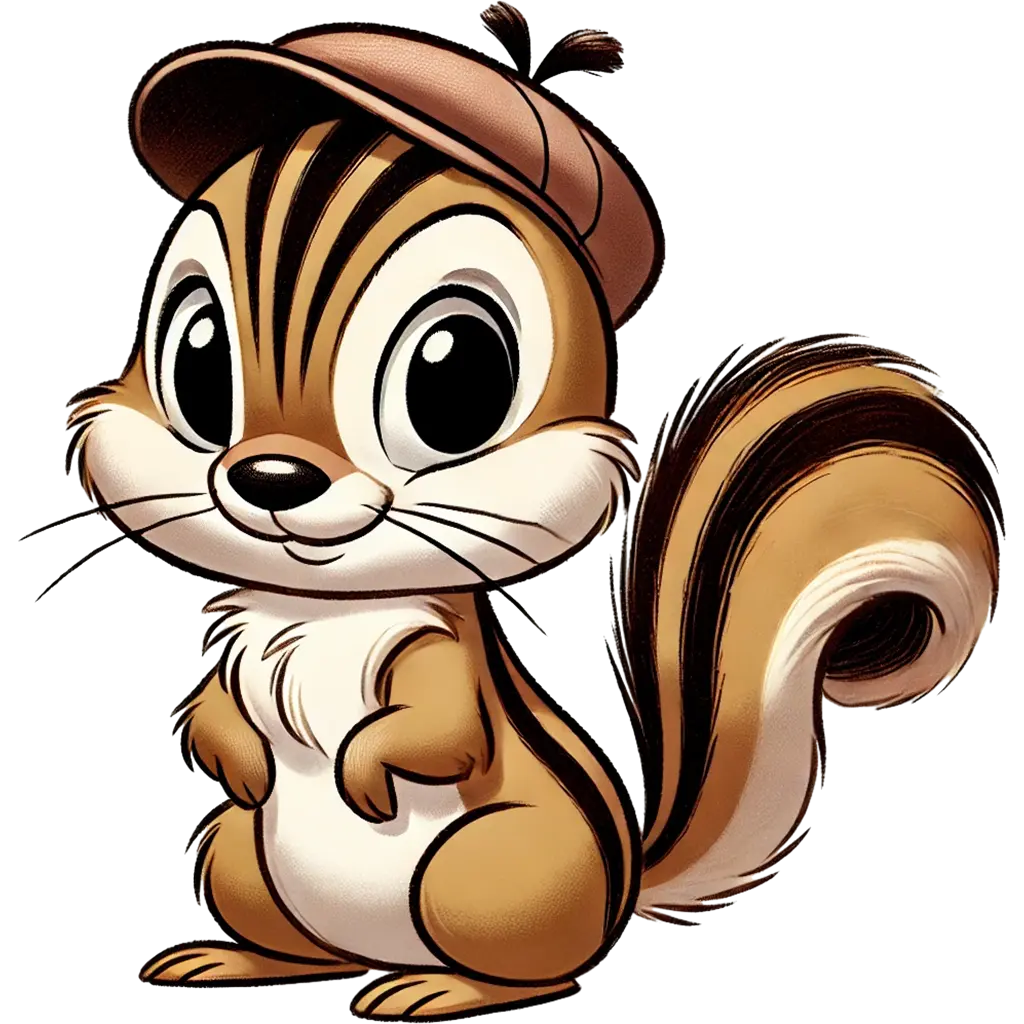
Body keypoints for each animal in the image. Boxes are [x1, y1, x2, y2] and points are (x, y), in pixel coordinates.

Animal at [63, 4, 1000, 1019]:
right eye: (197, 359)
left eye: (456, 375)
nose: (271, 478)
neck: (324, 609)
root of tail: (622, 889)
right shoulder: (236, 645)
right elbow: (207, 706)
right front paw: (237, 753)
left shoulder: (437, 663)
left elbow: (437, 730)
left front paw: (361, 772)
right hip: (237, 853)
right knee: (290, 932)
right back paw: (236, 959)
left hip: (475, 873)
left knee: (529, 967)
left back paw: (432, 986)